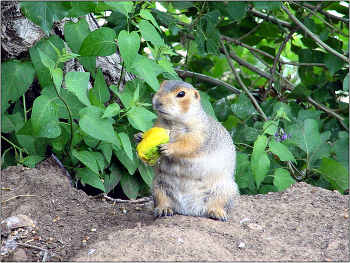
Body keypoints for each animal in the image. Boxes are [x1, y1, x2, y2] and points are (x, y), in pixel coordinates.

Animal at [134, 80, 238, 223]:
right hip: (158, 187)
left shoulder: (198, 133)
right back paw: (164, 209)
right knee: (162, 200)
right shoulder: (158, 126)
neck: (173, 122)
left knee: (218, 204)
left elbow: (187, 145)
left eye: (181, 94)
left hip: (226, 191)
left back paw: (218, 213)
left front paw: (169, 147)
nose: (156, 101)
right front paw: (139, 136)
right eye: (161, 86)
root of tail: (190, 211)